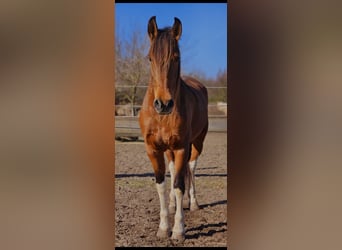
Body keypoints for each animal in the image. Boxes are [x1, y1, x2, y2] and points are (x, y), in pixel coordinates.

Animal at [139, 16, 208, 242]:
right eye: (150, 58)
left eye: (176, 58)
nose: (163, 104)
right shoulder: (153, 149)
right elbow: (161, 184)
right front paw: (163, 227)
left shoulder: (181, 148)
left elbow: (179, 185)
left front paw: (178, 230)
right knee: (172, 170)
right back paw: (171, 205)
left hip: (197, 142)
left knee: (191, 168)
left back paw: (193, 203)